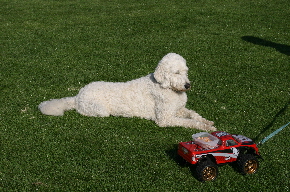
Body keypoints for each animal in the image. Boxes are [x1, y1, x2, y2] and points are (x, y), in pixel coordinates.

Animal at [38, 52, 215, 130]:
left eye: (185, 71)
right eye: (176, 72)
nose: (187, 85)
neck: (167, 87)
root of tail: (77, 95)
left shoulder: (178, 109)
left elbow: (193, 114)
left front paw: (207, 122)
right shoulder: (165, 118)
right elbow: (189, 122)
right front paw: (205, 128)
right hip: (99, 110)